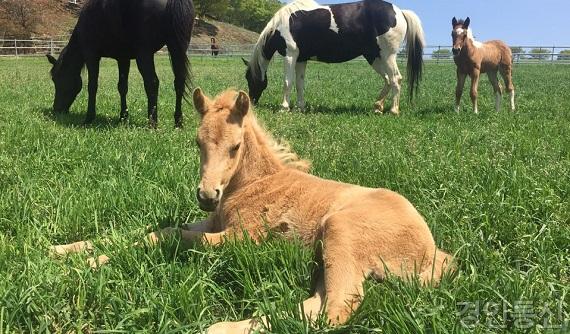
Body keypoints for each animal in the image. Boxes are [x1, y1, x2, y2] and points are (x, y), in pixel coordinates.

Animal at [45, 0, 195, 128]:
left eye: (56, 79)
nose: (56, 109)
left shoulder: (92, 56)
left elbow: (92, 86)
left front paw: (89, 118)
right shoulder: (123, 59)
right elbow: (122, 87)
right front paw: (123, 118)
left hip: (144, 54)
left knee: (152, 83)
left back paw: (152, 123)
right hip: (176, 47)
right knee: (179, 82)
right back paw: (178, 123)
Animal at [53, 88, 452, 332]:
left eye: (235, 146)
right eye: (197, 143)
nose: (206, 194)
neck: (251, 184)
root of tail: (434, 253)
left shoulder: (241, 238)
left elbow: (176, 240)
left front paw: (88, 264)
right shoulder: (211, 220)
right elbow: (160, 230)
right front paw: (64, 250)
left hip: (342, 233)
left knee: (337, 310)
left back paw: (217, 327)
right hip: (326, 254)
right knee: (318, 304)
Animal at [242, 0, 424, 115]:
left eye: (249, 78)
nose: (251, 102)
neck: (283, 25)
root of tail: (399, 12)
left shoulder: (290, 55)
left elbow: (287, 82)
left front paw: (284, 108)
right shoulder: (301, 59)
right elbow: (300, 84)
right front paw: (300, 107)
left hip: (387, 56)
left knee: (395, 79)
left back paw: (393, 110)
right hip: (374, 57)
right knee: (387, 79)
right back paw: (378, 106)